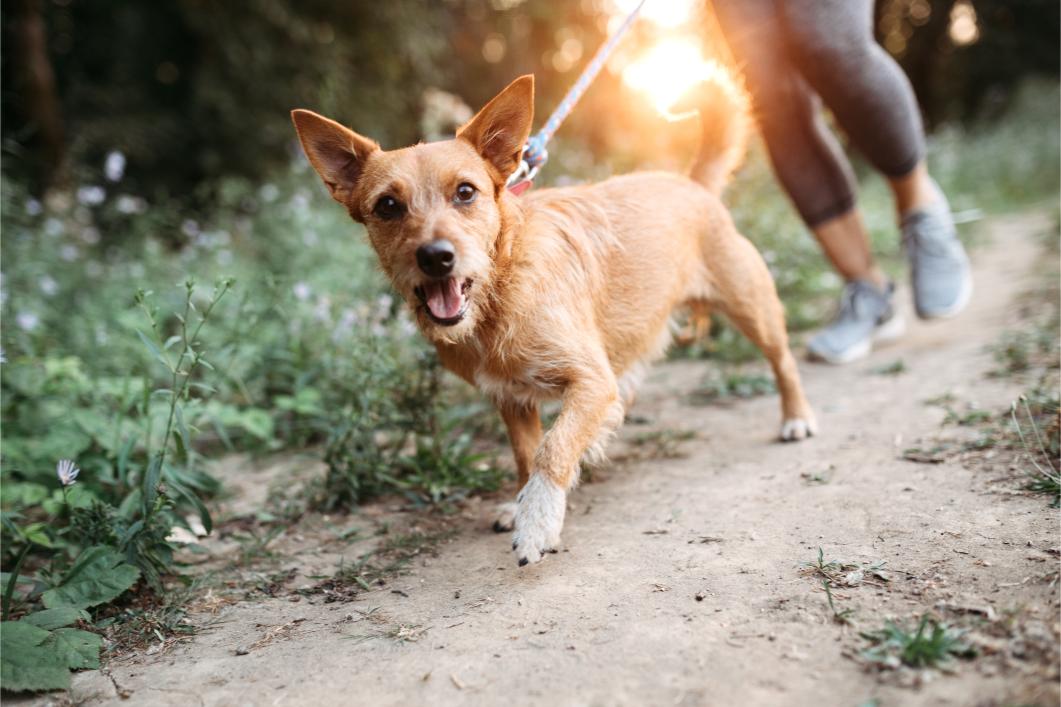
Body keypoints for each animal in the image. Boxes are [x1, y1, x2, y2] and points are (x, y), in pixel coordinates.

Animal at [294, 71, 814, 564]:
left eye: (465, 192)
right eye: (387, 205)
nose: (436, 257)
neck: (499, 293)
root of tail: (691, 184)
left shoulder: (591, 383)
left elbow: (553, 448)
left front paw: (538, 521)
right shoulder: (511, 400)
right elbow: (526, 454)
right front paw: (523, 503)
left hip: (752, 306)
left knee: (783, 360)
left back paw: (797, 418)